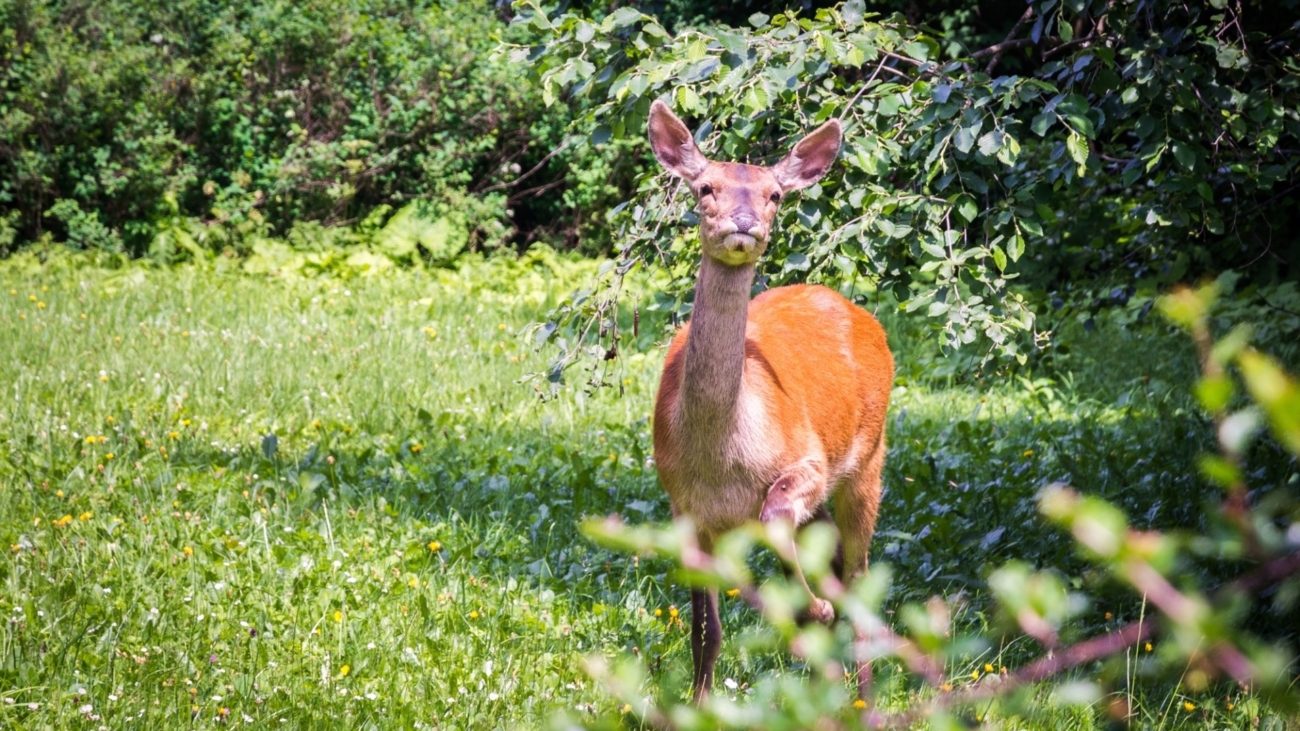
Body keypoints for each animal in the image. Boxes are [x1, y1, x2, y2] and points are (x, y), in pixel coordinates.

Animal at [647, 100, 894, 702]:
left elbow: (776, 510)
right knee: (832, 555)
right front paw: (699, 703)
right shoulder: (683, 505)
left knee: (859, 575)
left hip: (868, 459)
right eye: (705, 187)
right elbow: (704, 631)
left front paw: (817, 609)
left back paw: (860, 691)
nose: (744, 223)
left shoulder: (807, 458)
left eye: (775, 194)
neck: (722, 457)